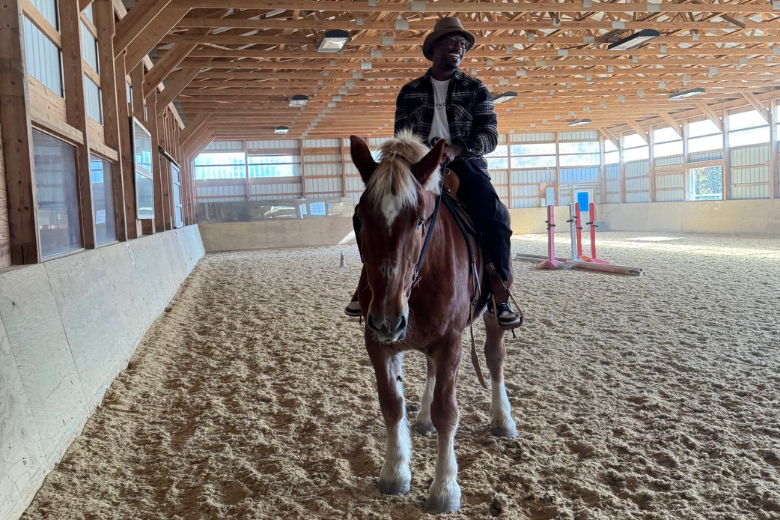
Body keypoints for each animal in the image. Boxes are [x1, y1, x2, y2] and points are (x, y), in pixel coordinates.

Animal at [349, 131, 518, 514]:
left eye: (419, 220)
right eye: (361, 218)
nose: (387, 319)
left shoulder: (451, 341)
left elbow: (447, 412)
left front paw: (444, 489)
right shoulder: (376, 342)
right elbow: (391, 405)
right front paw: (395, 472)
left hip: (492, 314)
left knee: (494, 359)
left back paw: (502, 419)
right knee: (429, 369)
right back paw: (423, 418)